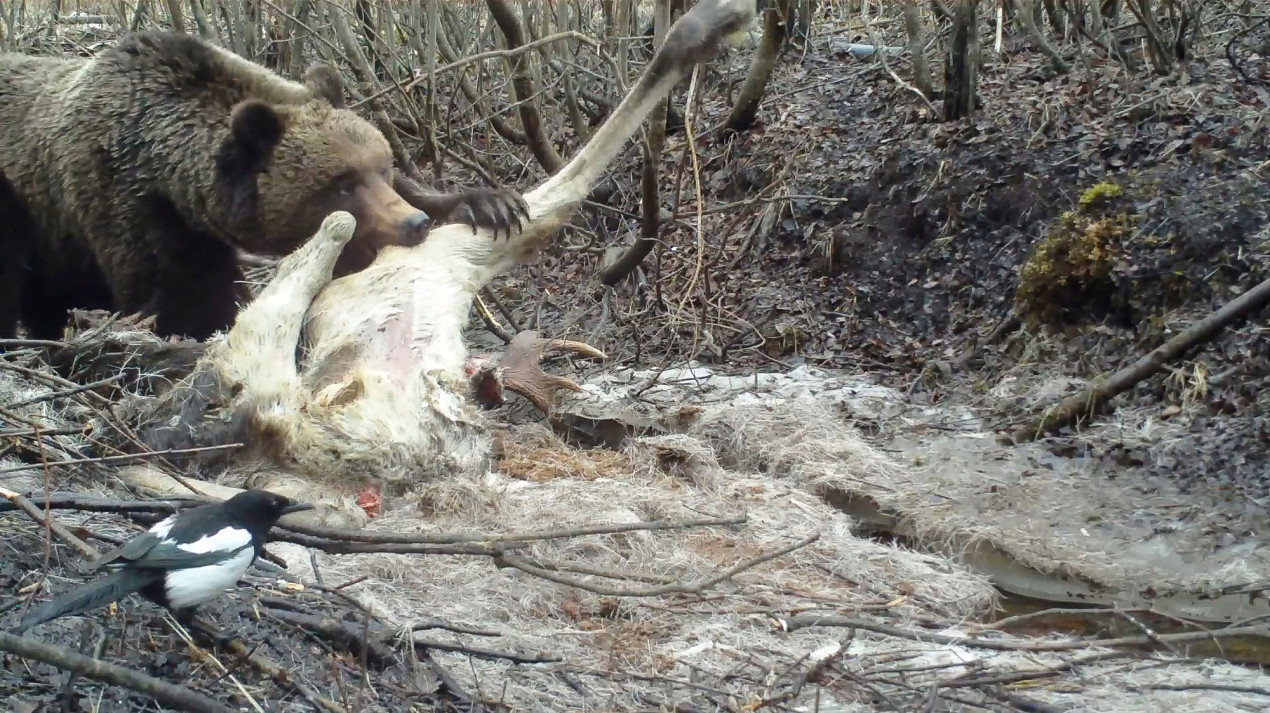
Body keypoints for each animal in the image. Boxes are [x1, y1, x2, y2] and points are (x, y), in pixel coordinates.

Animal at [0, 30, 528, 343]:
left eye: (384, 166)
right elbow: (187, 302)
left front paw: (489, 205)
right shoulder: (128, 209)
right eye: (341, 184)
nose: (411, 225)